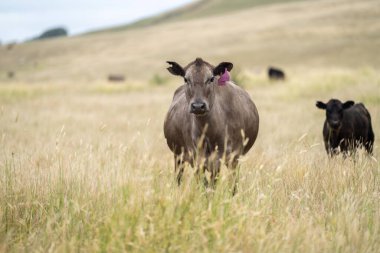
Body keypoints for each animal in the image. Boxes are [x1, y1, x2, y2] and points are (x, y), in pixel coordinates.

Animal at [165, 57, 260, 192]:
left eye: (211, 78)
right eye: (186, 79)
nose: (198, 106)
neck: (209, 133)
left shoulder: (232, 157)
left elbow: (230, 186)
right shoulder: (197, 159)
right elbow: (205, 186)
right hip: (178, 155)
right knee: (178, 177)